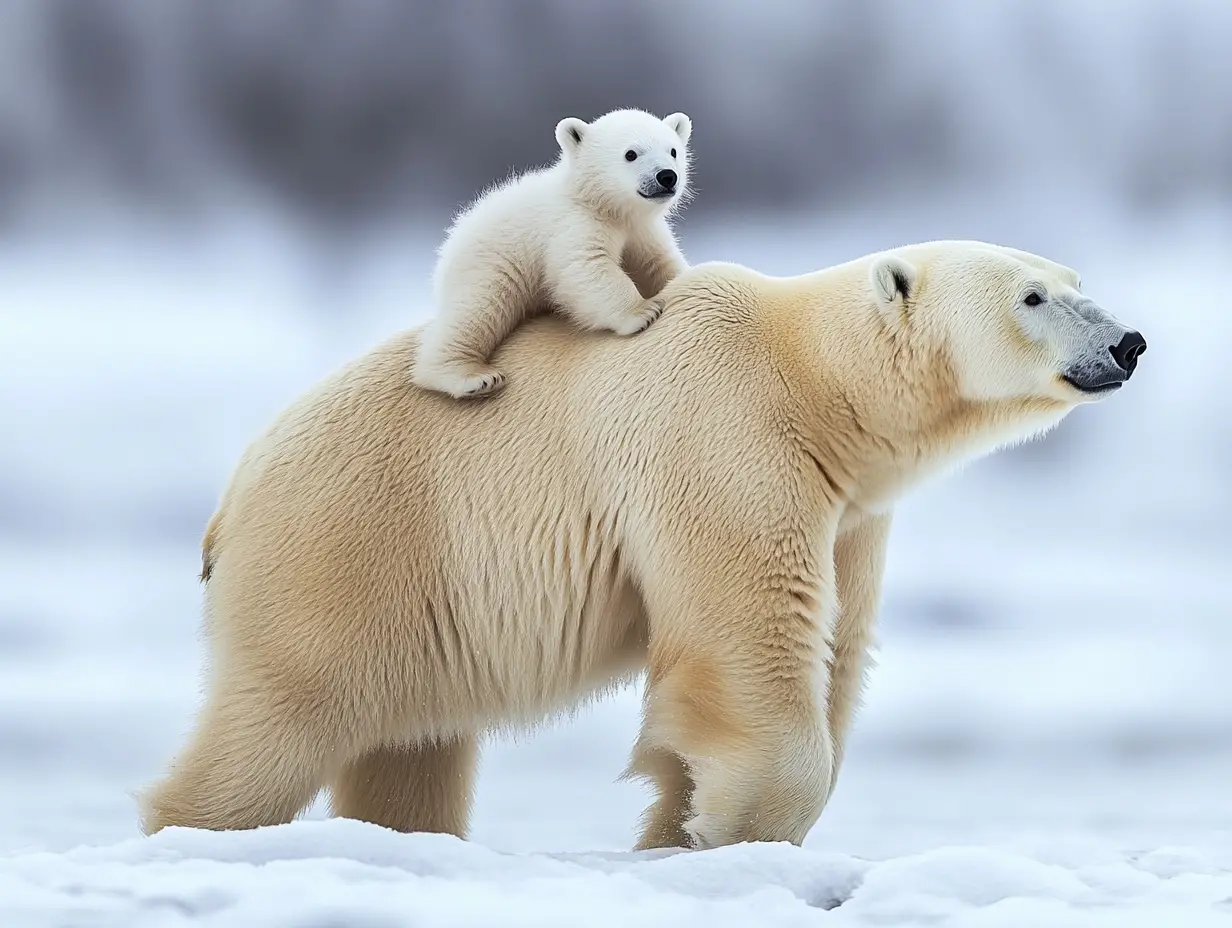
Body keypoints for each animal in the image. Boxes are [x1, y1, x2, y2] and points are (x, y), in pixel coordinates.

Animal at [139, 241, 1145, 850]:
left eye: (1076, 279)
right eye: (1034, 295)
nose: (1129, 341)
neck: (811, 381)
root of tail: (232, 496)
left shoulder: (854, 512)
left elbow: (836, 646)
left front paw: (679, 827)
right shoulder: (723, 437)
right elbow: (748, 637)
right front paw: (725, 830)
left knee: (411, 747)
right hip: (346, 550)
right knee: (279, 726)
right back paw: (189, 828)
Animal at [411, 107, 693, 399]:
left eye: (673, 150)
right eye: (631, 153)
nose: (667, 176)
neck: (599, 202)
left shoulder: (642, 229)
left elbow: (657, 262)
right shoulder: (572, 224)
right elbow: (586, 267)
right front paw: (643, 312)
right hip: (490, 264)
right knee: (477, 310)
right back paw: (472, 378)